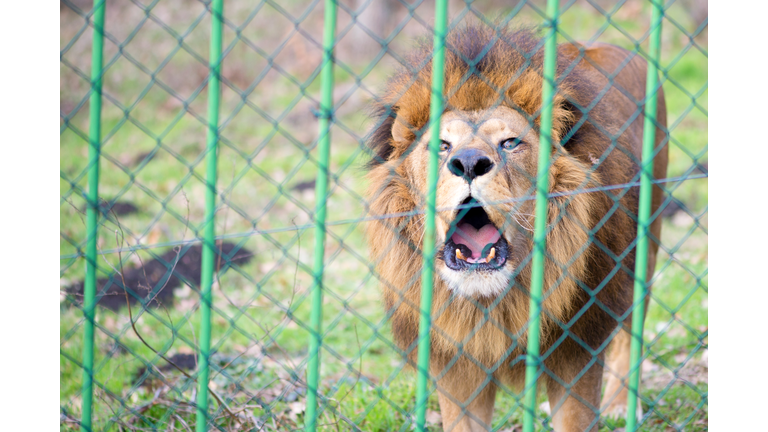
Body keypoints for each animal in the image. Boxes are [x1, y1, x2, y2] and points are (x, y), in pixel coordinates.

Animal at [364, 24, 664, 432]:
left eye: (510, 143)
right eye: (442, 145)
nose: (469, 162)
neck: (493, 302)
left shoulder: (577, 347)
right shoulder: (456, 365)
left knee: (630, 335)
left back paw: (620, 405)